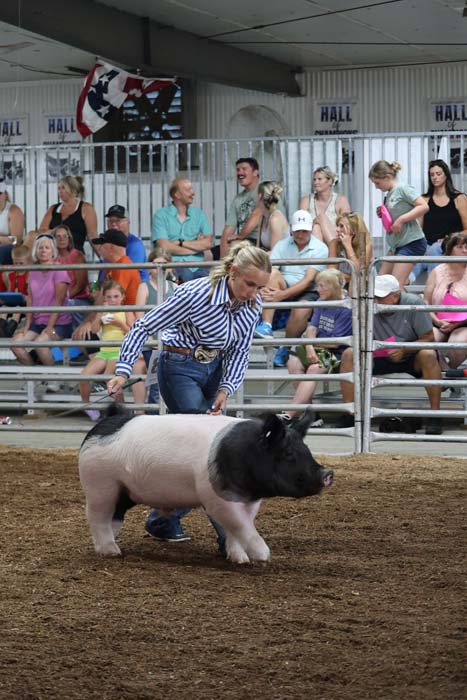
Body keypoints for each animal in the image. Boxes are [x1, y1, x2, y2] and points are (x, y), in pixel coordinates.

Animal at [78, 407, 333, 565]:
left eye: (307, 450)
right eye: (288, 453)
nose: (327, 473)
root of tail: (98, 428)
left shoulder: (249, 500)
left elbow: (239, 526)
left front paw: (240, 559)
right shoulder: (216, 498)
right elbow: (239, 524)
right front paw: (263, 556)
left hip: (124, 491)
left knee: (114, 517)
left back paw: (111, 544)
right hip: (99, 483)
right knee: (96, 515)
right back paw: (111, 552)